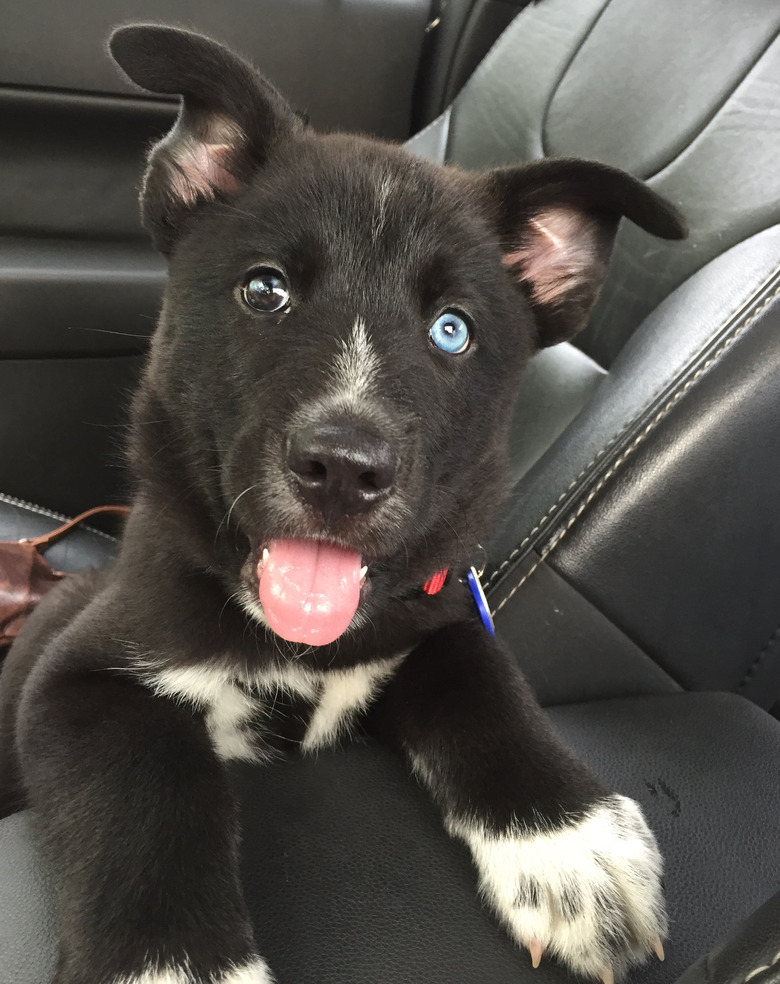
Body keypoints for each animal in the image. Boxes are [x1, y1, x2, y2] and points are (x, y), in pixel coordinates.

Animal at [0, 21, 684, 984]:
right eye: (264, 290)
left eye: (452, 330)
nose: (344, 470)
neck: (302, 650)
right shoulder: (80, 680)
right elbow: (143, 797)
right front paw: (175, 963)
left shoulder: (435, 617)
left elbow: (482, 674)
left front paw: (571, 846)